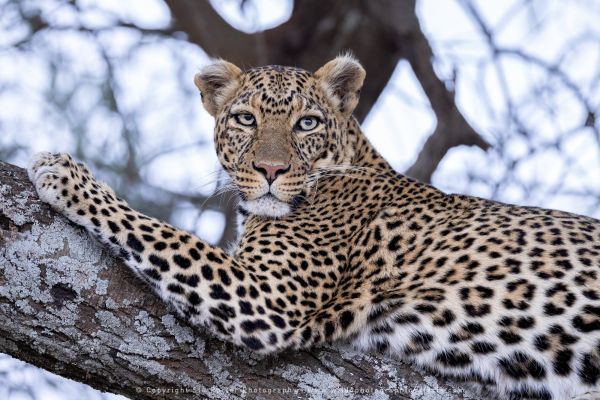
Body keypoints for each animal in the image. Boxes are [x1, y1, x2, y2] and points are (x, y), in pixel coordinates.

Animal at [27, 54, 600, 398]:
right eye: (246, 119)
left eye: (307, 123)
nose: (270, 171)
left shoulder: (267, 299)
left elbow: (160, 232)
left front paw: (65, 173)